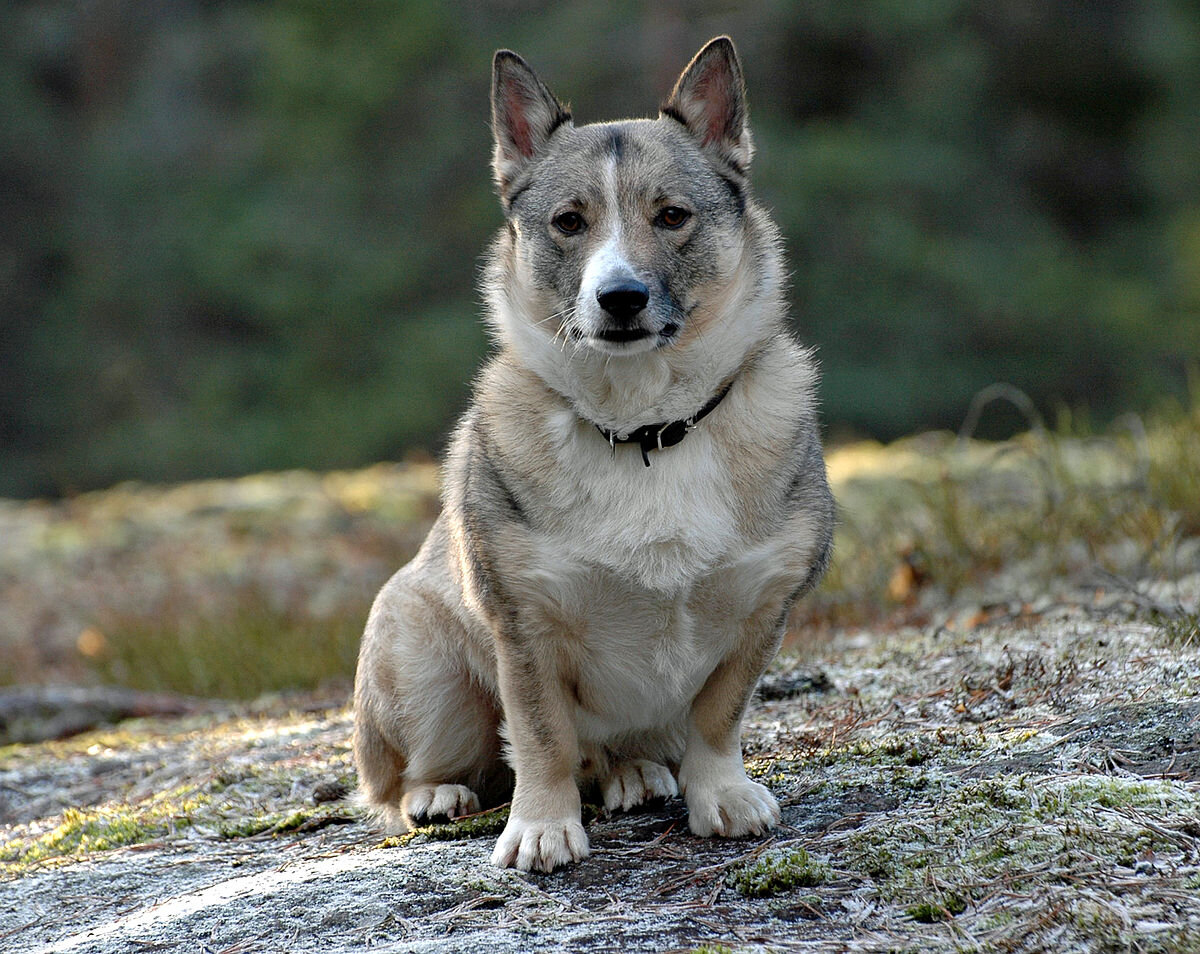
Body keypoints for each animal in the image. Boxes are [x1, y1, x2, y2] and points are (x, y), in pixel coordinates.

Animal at [350, 37, 830, 873]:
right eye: (569, 223)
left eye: (671, 216)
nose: (621, 297)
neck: (646, 430)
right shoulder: (524, 625)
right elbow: (542, 738)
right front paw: (543, 828)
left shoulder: (763, 606)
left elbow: (718, 718)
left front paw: (721, 795)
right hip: (423, 666)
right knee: (411, 778)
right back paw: (439, 794)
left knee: (615, 753)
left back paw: (635, 773)